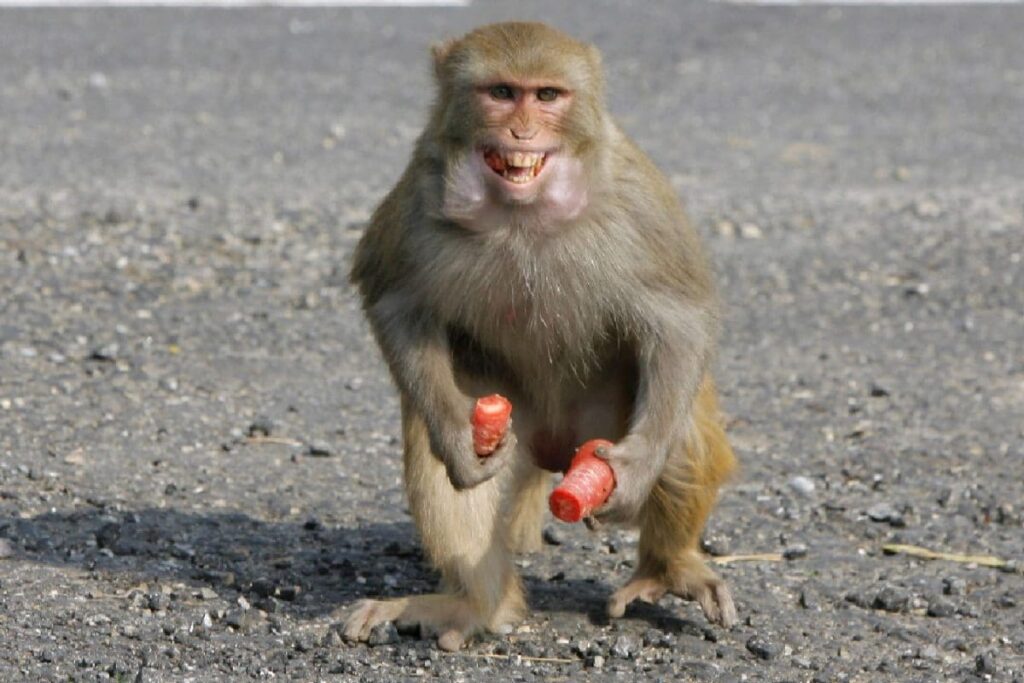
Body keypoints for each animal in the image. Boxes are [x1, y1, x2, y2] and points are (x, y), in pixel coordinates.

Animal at [344, 22, 737, 651]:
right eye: (502, 93)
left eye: (548, 95)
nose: (521, 130)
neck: (524, 210)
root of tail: (557, 448)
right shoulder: (421, 187)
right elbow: (396, 299)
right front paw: (458, 439)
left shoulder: (635, 194)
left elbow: (681, 316)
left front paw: (634, 474)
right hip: (516, 422)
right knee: (443, 446)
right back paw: (478, 607)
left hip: (604, 426)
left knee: (677, 425)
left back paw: (668, 566)